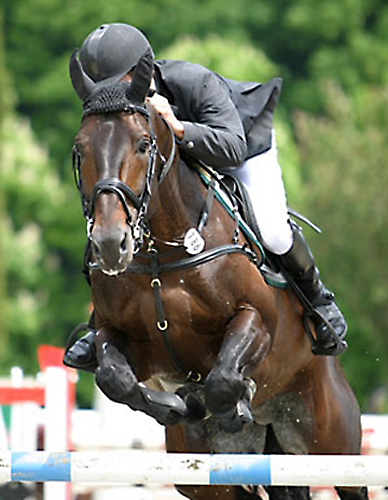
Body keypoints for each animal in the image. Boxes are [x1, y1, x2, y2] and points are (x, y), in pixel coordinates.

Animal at [68, 47, 368, 500]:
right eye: (80, 150)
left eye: (142, 144)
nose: (109, 243)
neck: (161, 255)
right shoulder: (118, 336)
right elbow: (112, 376)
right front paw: (179, 405)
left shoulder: (256, 322)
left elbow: (224, 377)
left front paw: (233, 399)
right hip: (212, 480)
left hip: (335, 445)